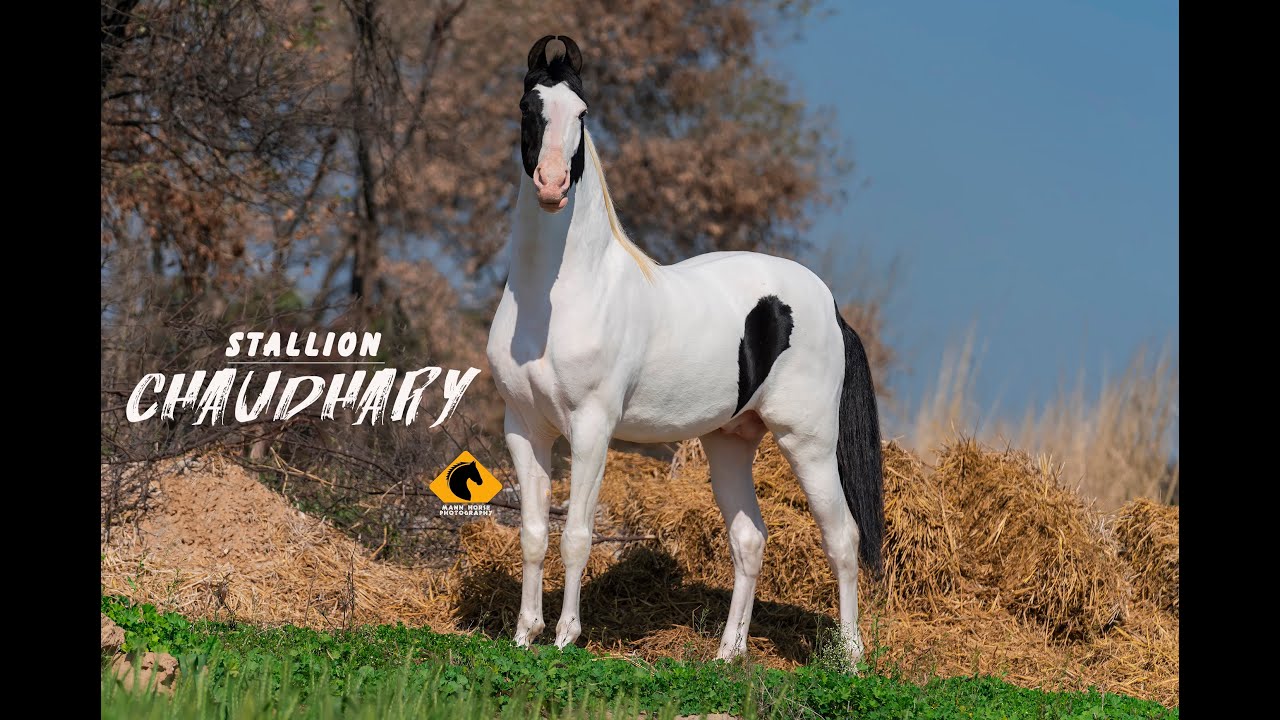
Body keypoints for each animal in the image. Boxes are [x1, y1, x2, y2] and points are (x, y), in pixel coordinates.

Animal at [486, 35, 884, 666]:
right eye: (529, 107)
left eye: (583, 113)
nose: (552, 185)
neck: (557, 297)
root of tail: (829, 304)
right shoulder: (524, 428)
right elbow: (532, 534)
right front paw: (525, 634)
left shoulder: (591, 428)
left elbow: (576, 535)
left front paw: (567, 636)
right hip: (730, 442)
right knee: (749, 539)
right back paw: (728, 654)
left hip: (810, 442)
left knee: (842, 537)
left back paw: (849, 659)